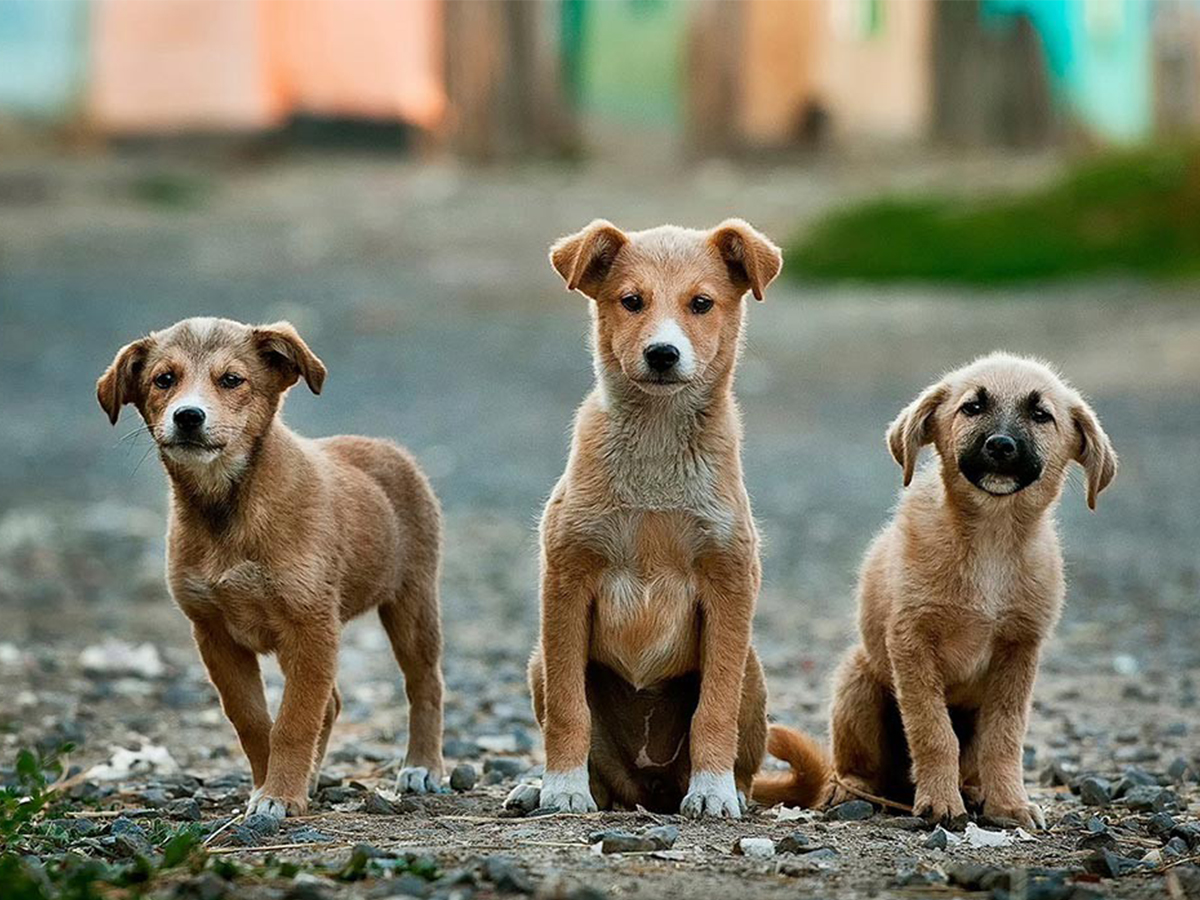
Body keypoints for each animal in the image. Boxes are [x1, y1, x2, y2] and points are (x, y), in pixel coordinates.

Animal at [97, 316, 446, 816]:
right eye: (164, 380)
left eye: (231, 380)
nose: (188, 416)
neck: (228, 509)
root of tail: (386, 447)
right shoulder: (215, 633)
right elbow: (253, 720)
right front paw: (270, 786)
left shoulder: (311, 626)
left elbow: (295, 721)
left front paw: (280, 794)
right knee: (332, 703)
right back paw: (314, 777)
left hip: (412, 602)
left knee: (425, 684)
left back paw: (422, 766)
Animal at [508, 218, 787, 816]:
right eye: (631, 301)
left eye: (701, 304)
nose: (662, 353)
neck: (657, 447)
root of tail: (650, 789)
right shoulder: (566, 580)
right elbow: (568, 709)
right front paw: (562, 788)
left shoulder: (730, 583)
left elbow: (714, 709)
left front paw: (712, 791)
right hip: (539, 661)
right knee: (600, 767)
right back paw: (544, 787)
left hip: (753, 670)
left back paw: (728, 789)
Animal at [758, 355, 1113, 830]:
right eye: (972, 407)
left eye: (1041, 415)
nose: (1001, 446)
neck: (991, 539)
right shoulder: (911, 642)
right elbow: (932, 731)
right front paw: (941, 803)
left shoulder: (1019, 650)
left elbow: (1005, 736)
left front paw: (1008, 804)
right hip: (857, 680)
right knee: (857, 767)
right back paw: (853, 790)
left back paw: (974, 791)